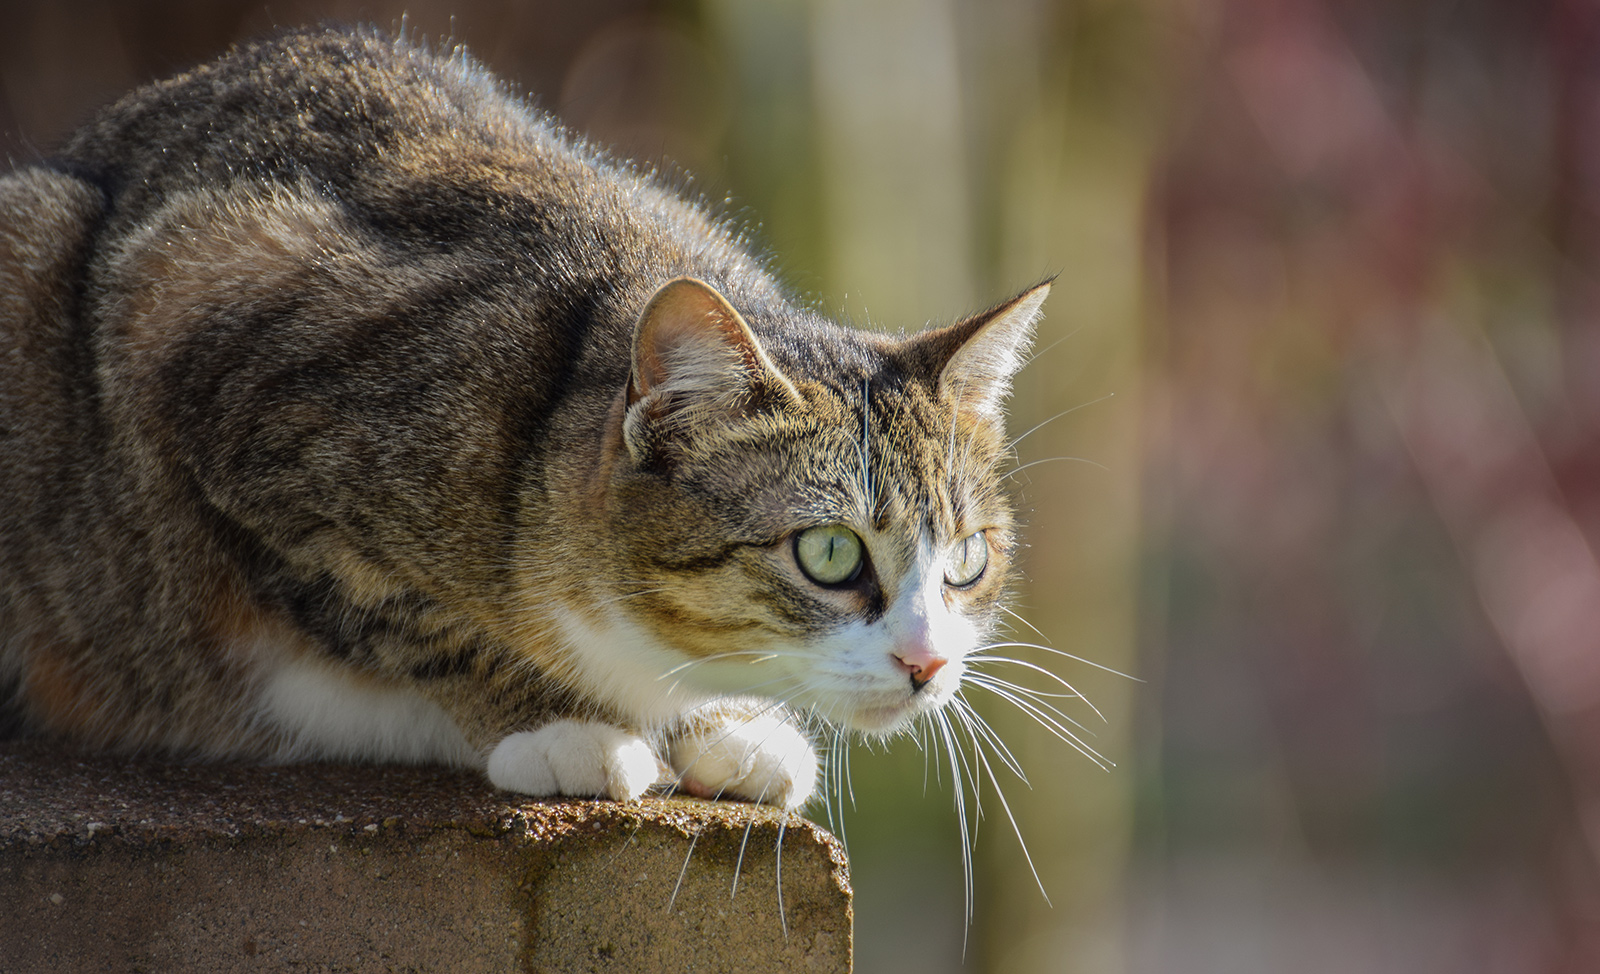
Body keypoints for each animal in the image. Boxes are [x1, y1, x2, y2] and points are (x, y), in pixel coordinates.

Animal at [0, 26, 1049, 809]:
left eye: (968, 560)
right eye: (829, 554)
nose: (927, 664)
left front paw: (725, 727)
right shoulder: (216, 349)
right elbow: (405, 616)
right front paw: (560, 722)